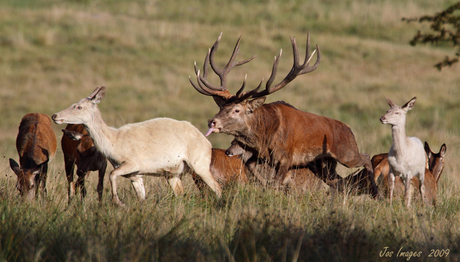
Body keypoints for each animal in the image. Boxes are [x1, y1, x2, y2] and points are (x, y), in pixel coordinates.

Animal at [52, 86, 221, 207]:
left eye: (79, 107)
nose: (55, 116)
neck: (114, 142)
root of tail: (207, 142)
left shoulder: (134, 163)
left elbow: (112, 174)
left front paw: (118, 202)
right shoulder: (135, 175)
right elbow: (141, 198)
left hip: (199, 165)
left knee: (218, 188)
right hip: (173, 174)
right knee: (181, 193)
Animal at [189, 32, 380, 196]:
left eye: (237, 110)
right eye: (221, 107)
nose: (212, 122)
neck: (265, 136)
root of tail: (349, 129)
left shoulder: (286, 157)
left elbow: (276, 180)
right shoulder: (262, 156)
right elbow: (251, 166)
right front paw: (265, 184)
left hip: (346, 152)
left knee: (365, 157)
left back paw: (376, 192)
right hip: (322, 166)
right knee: (341, 182)